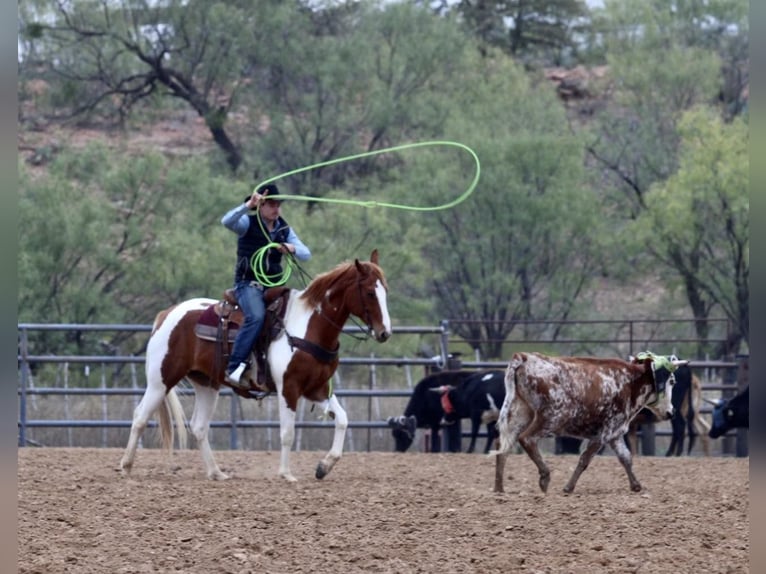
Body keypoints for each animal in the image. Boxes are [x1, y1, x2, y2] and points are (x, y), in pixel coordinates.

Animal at [124, 250, 396, 484]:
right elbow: (287, 432)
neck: (308, 327)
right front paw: (286, 473)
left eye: (386, 291)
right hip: (160, 380)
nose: (385, 333)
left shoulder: (316, 389)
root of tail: (167, 314)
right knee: (139, 416)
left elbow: (342, 419)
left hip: (206, 384)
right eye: (370, 293)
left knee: (199, 427)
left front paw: (324, 466)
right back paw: (126, 466)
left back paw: (216, 472)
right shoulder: (289, 388)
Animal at [496, 352, 688, 496]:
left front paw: (636, 485)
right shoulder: (603, 434)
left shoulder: (615, 433)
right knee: (527, 439)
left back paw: (499, 488)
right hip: (552, 417)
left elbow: (625, 457)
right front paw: (568, 487)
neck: (630, 382)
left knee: (503, 448)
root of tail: (525, 357)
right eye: (672, 381)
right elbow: (585, 459)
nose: (671, 412)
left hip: (519, 414)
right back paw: (545, 477)